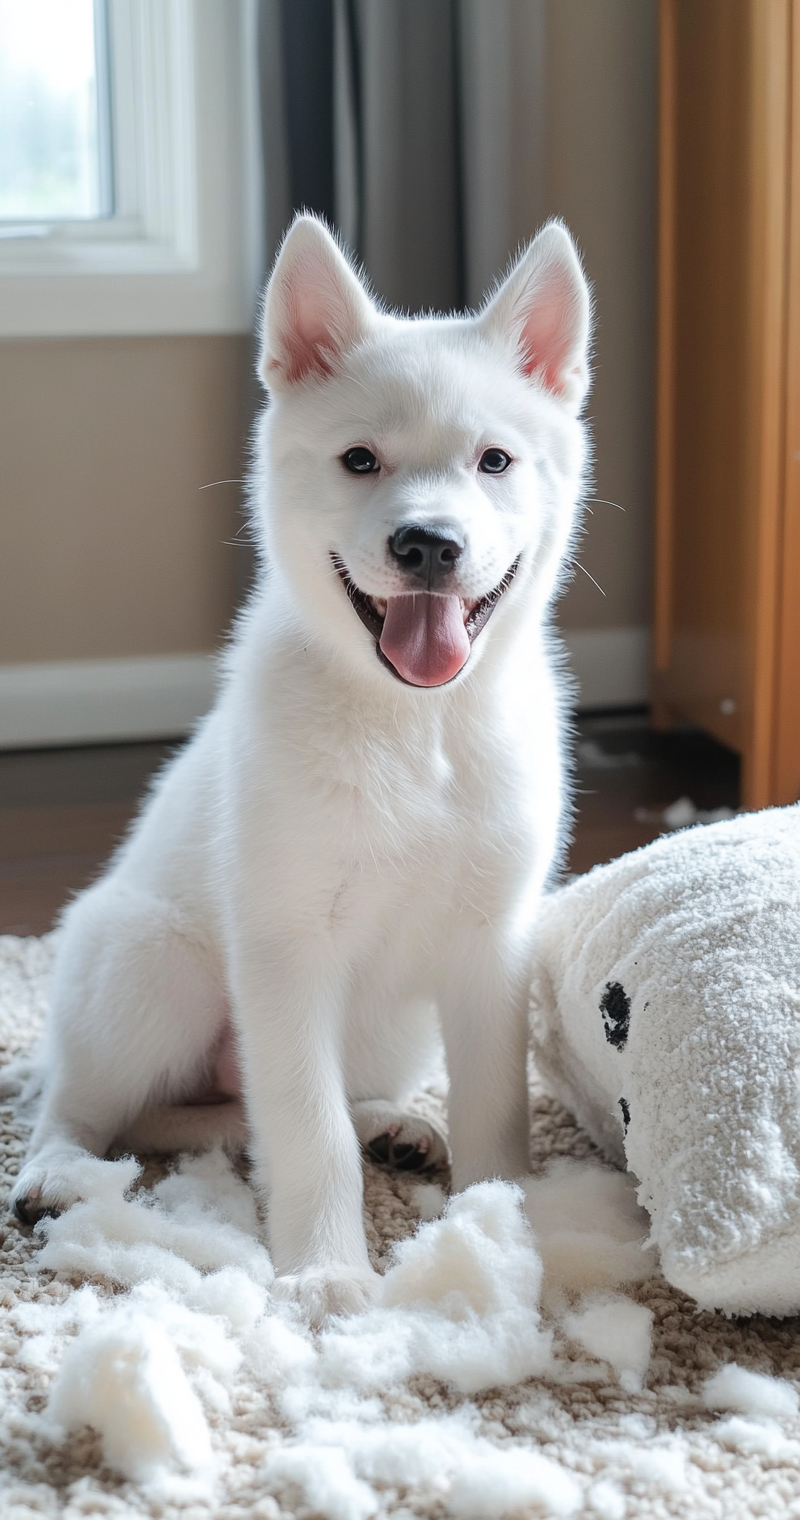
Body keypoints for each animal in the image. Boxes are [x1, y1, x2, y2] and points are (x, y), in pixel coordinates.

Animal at [9, 214, 593, 1319]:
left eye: (494, 459)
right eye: (359, 459)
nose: (426, 544)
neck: (414, 724)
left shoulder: (489, 946)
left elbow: (494, 1101)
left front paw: (500, 1228)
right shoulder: (285, 950)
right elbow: (303, 1128)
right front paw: (326, 1270)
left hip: (392, 1031)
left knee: (245, 1108)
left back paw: (392, 1124)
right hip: (148, 964)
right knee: (99, 1103)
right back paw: (57, 1168)